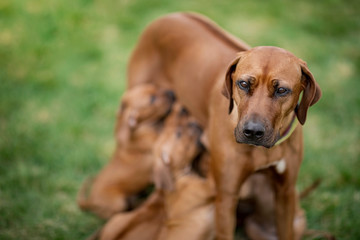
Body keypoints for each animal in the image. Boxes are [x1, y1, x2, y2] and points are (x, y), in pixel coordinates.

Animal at [126, 12, 320, 239]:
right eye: (243, 84)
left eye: (282, 90)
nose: (252, 132)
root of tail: (170, 15)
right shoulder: (226, 196)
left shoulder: (285, 192)